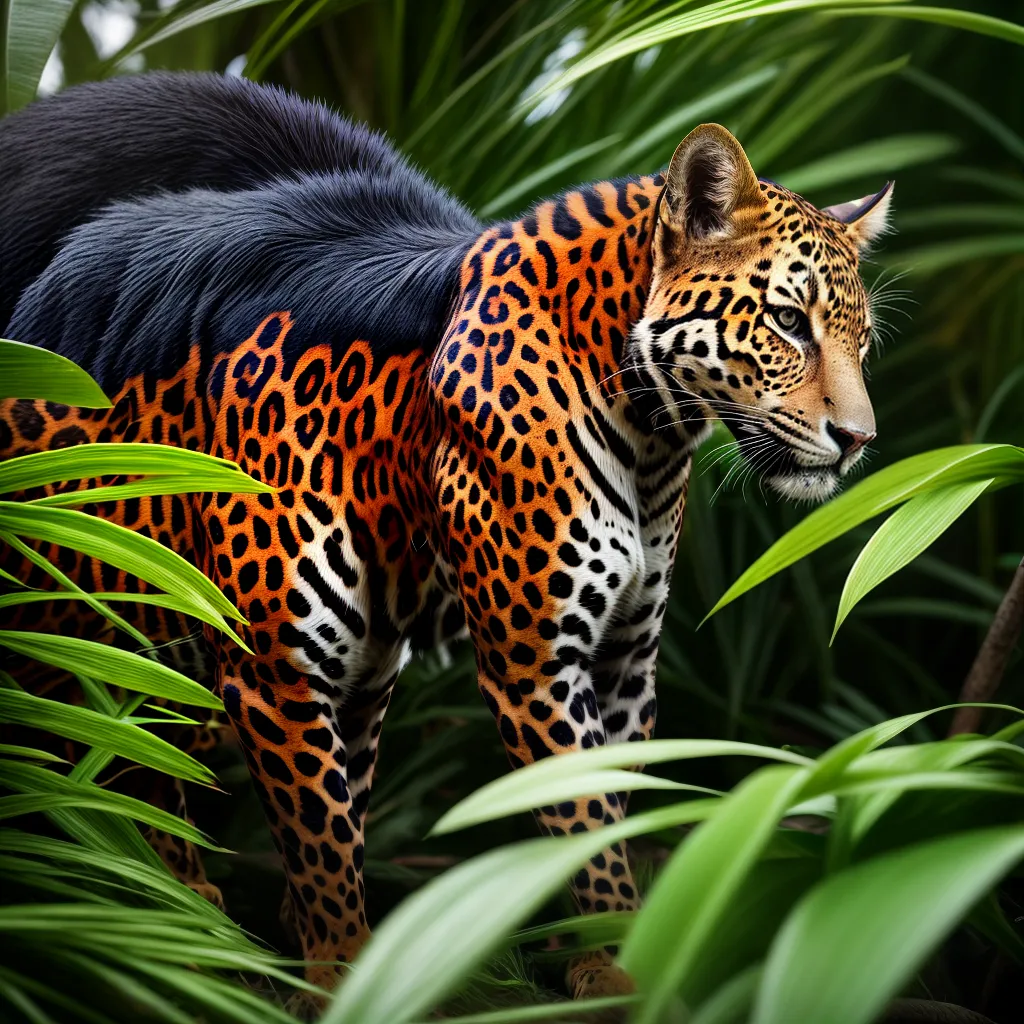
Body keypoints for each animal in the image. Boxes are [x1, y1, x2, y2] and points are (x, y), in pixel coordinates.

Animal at [0, 72, 892, 1001]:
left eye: (862, 341)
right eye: (788, 321)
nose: (859, 440)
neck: (650, 438)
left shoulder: (623, 659)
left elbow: (603, 805)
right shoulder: (494, 663)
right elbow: (405, 829)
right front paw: (357, 967)